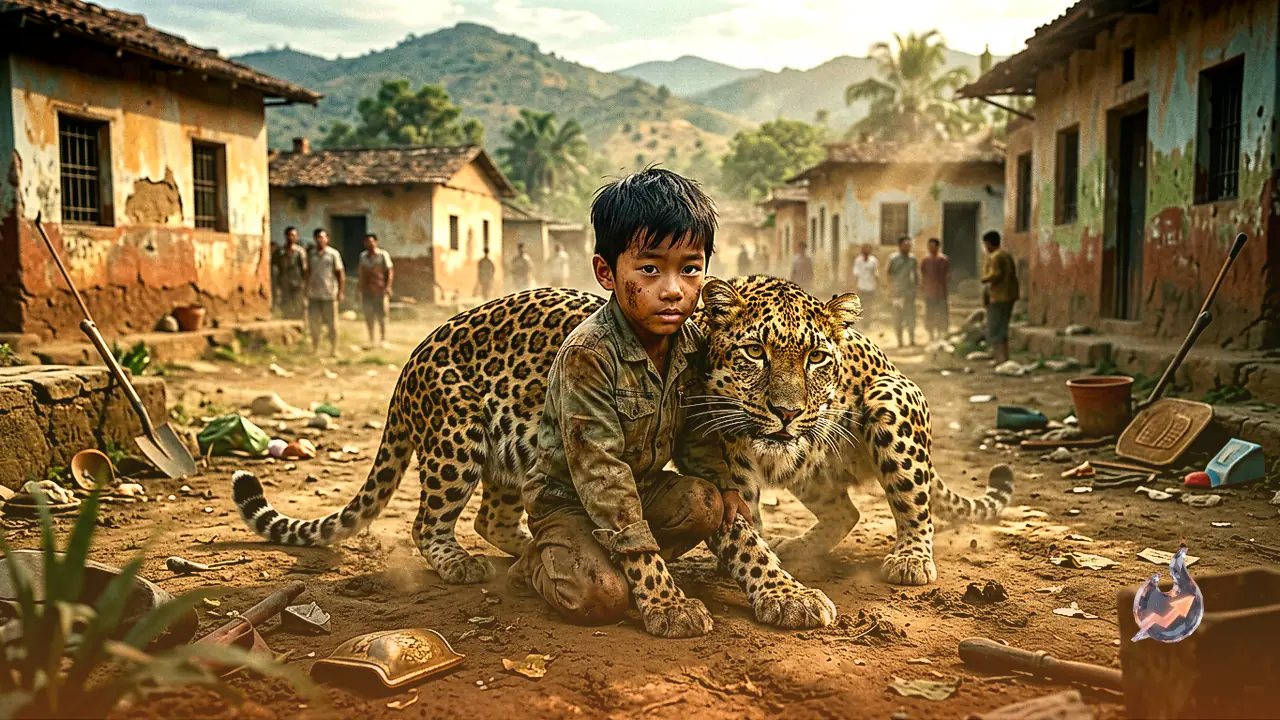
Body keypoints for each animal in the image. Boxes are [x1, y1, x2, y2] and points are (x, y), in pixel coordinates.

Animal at [231, 276, 1010, 631]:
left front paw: (774, 578)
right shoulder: (720, 468)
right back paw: (473, 563)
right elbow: (742, 536)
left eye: (816, 358)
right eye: (757, 354)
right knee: (439, 521)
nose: (790, 412)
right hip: (459, 434)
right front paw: (779, 590)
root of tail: (413, 355)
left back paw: (904, 557)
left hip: (888, 403)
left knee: (873, 504)